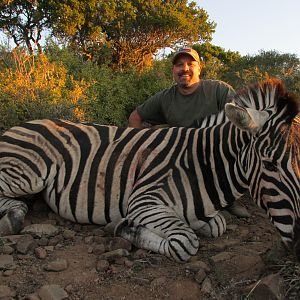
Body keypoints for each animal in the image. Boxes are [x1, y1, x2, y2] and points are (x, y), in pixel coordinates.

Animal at [0, 78, 298, 262]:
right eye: (270, 164)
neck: (201, 164)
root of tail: (23, 123)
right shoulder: (144, 200)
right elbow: (184, 242)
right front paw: (125, 228)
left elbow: (216, 225)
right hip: (27, 173)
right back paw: (12, 218)